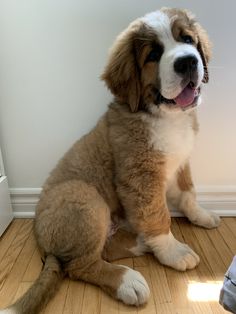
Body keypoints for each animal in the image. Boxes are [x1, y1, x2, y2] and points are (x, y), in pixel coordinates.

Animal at [0, 7, 220, 314]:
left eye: (187, 39)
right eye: (154, 54)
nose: (187, 61)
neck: (165, 116)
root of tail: (44, 245)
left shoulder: (181, 163)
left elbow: (188, 194)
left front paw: (202, 215)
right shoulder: (142, 179)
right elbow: (157, 215)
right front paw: (173, 251)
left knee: (103, 250)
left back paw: (140, 244)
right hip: (85, 197)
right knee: (80, 265)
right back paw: (127, 281)